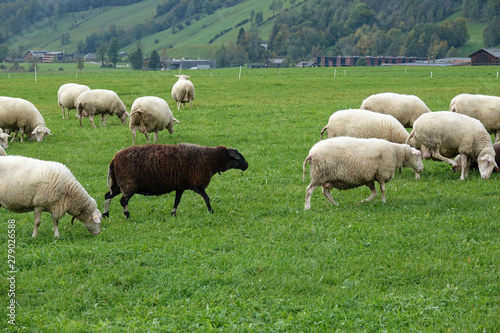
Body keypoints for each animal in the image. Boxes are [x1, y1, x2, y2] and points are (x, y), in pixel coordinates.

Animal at [103, 143, 248, 218]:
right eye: (238, 156)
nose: (247, 165)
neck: (210, 159)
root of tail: (114, 159)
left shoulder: (180, 186)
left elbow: (177, 201)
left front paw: (173, 214)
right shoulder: (196, 185)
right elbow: (206, 198)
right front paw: (211, 212)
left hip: (120, 183)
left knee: (107, 195)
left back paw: (105, 214)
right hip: (128, 184)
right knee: (123, 201)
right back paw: (127, 216)